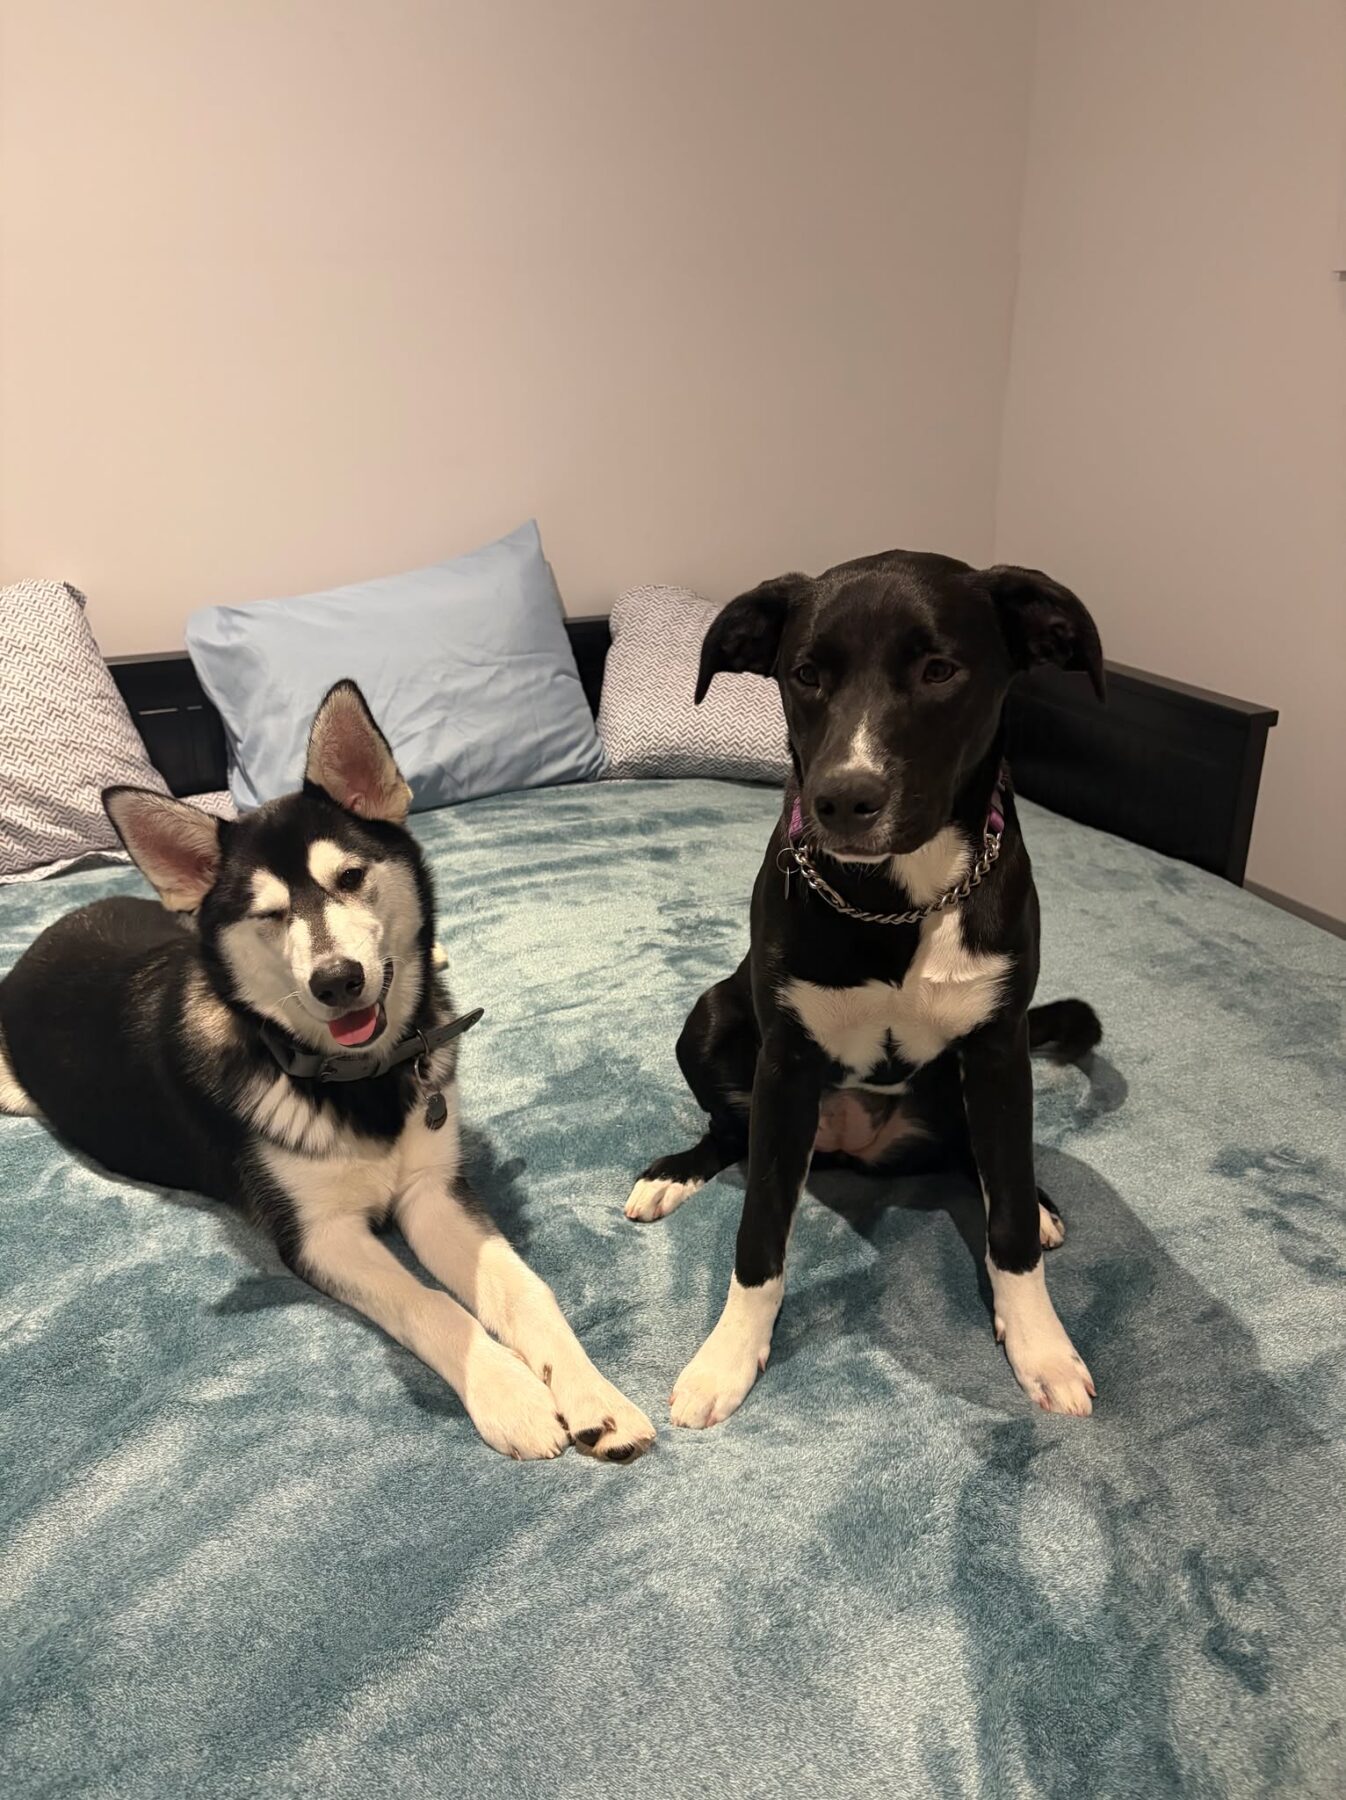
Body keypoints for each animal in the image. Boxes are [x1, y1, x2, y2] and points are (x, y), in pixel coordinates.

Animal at [0, 681, 654, 1463]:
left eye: (350, 877)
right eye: (269, 914)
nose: (337, 981)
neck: (362, 1078)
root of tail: (46, 937)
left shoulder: (432, 1191)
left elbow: (523, 1289)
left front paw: (595, 1397)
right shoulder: (320, 1233)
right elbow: (428, 1301)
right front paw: (508, 1392)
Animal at [626, 549, 1106, 1425]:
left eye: (940, 669)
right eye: (805, 674)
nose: (843, 800)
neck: (901, 897)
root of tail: (855, 1144)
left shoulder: (999, 1051)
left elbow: (1011, 1225)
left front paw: (1041, 1345)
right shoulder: (785, 1064)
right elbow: (759, 1230)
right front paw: (727, 1359)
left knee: (984, 1164)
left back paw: (1040, 1202)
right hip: (710, 1019)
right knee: (729, 1130)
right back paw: (673, 1173)